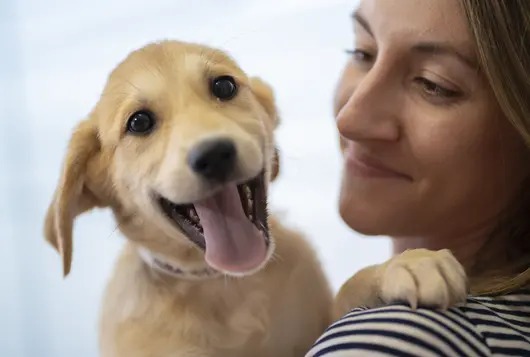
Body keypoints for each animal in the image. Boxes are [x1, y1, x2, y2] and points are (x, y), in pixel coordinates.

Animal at [43, 39, 464, 356]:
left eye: (224, 87)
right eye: (140, 122)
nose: (214, 155)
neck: (229, 285)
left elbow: (346, 291)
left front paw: (403, 265)